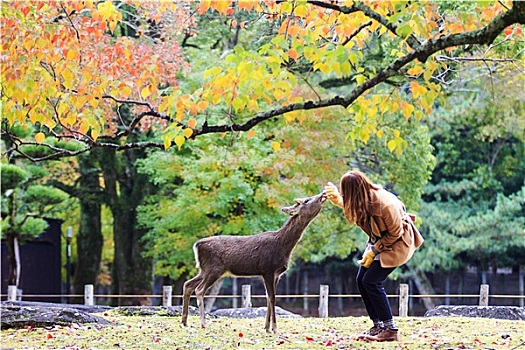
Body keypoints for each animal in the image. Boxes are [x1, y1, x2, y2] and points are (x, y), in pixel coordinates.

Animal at [182, 191, 326, 334]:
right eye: (306, 200)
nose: (323, 193)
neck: (283, 246)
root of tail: (197, 245)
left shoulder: (277, 274)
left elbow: (268, 298)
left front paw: (266, 328)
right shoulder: (267, 269)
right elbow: (272, 298)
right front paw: (275, 329)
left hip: (204, 269)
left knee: (188, 284)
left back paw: (184, 321)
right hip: (214, 268)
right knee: (199, 289)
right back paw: (203, 323)